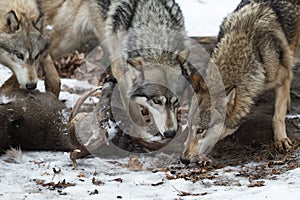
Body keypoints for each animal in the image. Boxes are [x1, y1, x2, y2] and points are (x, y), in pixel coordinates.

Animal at [182, 0, 298, 164]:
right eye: (189, 128)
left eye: (200, 130)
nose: (183, 159)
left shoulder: (283, 75)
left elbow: (278, 116)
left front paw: (280, 139)